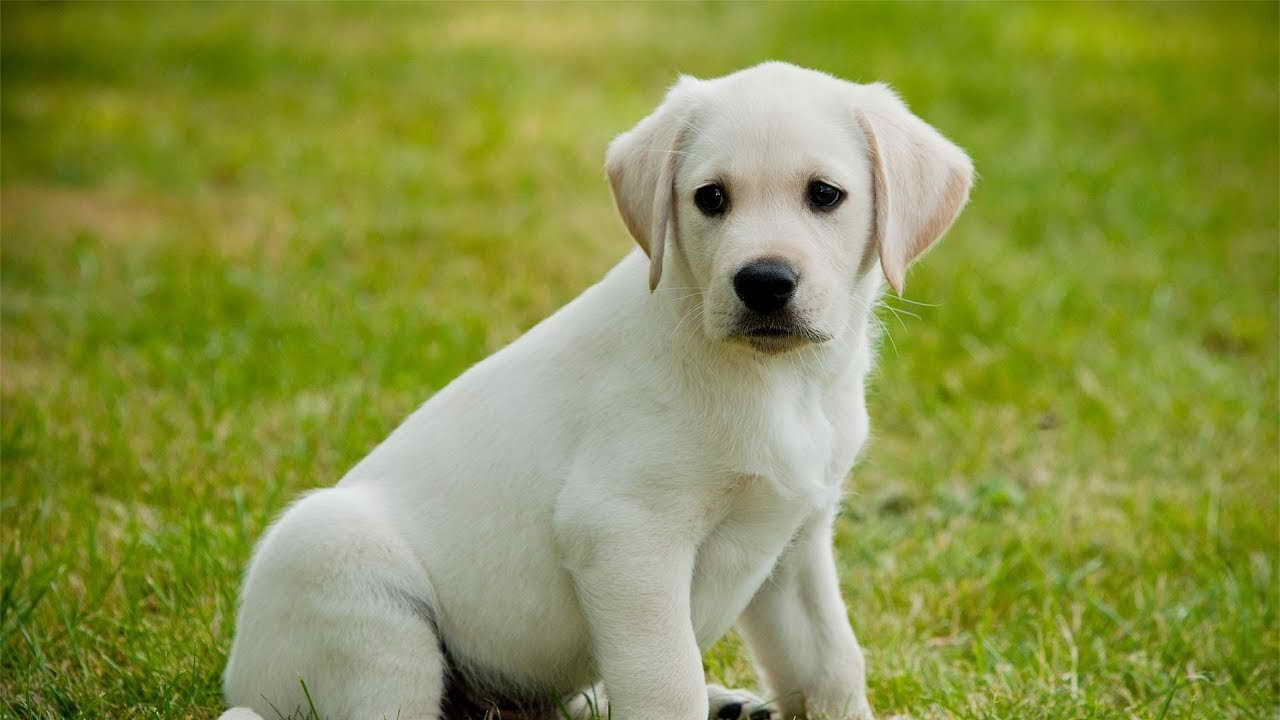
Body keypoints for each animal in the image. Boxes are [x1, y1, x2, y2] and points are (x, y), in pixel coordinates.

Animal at [225, 63, 972, 717]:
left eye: (824, 195)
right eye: (710, 198)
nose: (763, 282)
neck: (776, 381)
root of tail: (239, 675)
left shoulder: (795, 540)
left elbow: (830, 664)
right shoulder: (624, 532)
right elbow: (666, 683)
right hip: (348, 577)